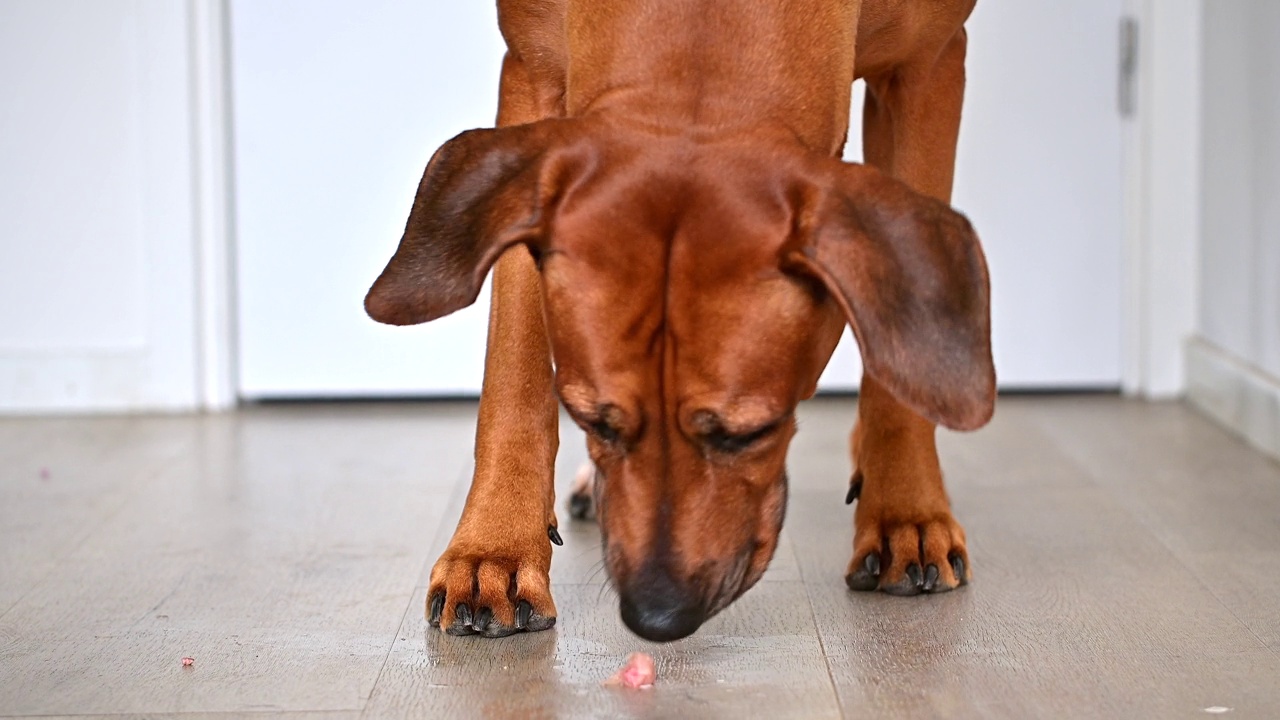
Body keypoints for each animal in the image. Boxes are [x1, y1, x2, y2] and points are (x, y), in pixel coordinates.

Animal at [366, 0, 993, 638]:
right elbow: (515, 354)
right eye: (594, 423)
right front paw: (493, 550)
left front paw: (906, 516)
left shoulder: (928, 68)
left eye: (753, 433)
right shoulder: (530, 78)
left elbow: (907, 357)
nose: (656, 614)